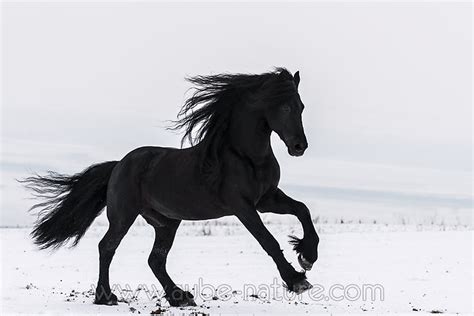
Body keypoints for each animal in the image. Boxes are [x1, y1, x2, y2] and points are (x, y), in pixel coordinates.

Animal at [21, 68, 318, 308]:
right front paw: (297, 280)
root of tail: (118, 165)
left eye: (301, 106)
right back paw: (106, 296)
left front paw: (307, 256)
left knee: (156, 259)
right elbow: (267, 239)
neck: (245, 156)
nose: (299, 146)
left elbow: (302, 210)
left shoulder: (266, 199)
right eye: (284, 107)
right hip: (124, 216)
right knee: (107, 247)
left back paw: (179, 297)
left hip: (166, 222)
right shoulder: (242, 206)